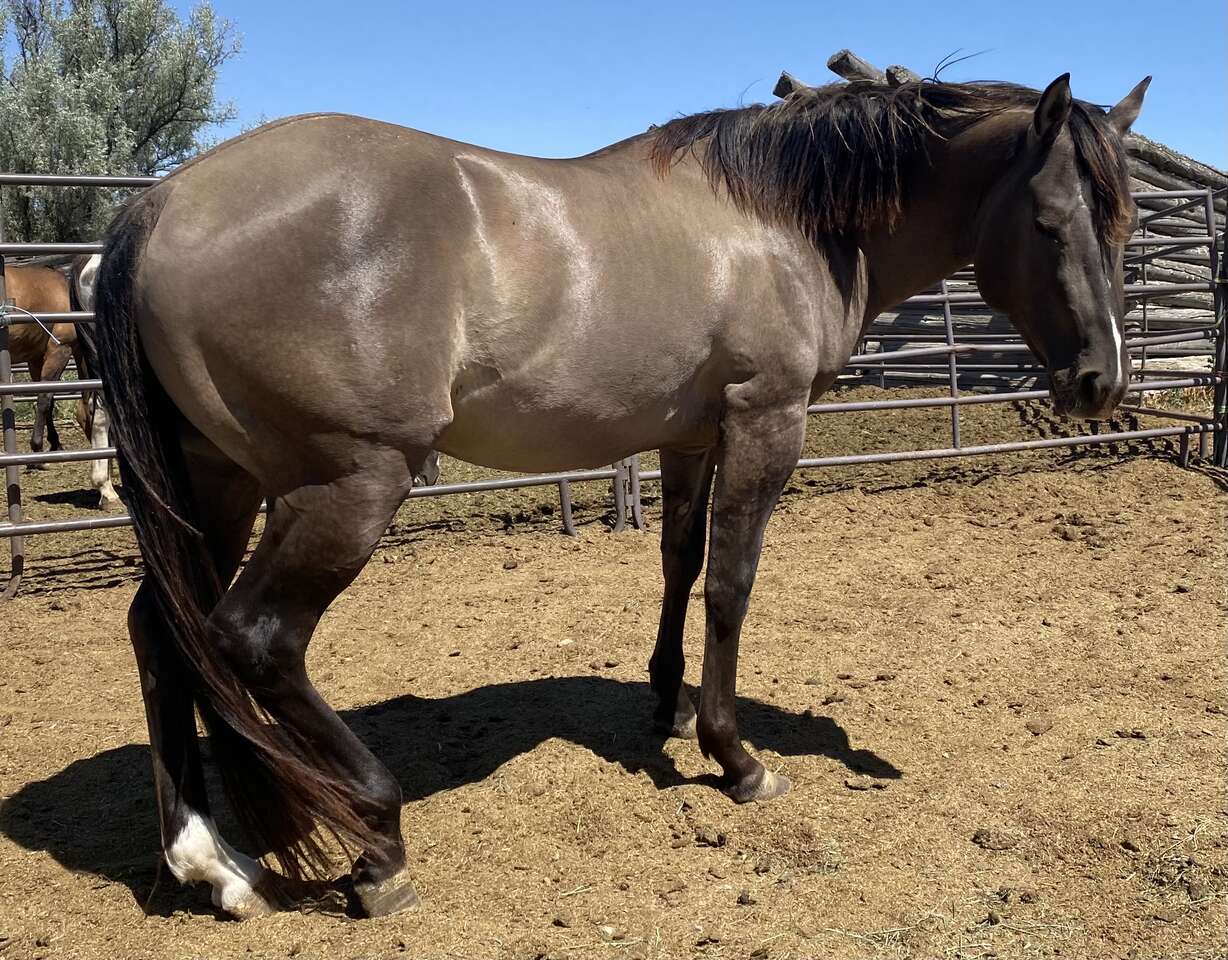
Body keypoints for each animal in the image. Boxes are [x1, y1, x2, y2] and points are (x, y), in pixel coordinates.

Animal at [91, 72, 1149, 919]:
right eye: (1050, 223)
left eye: (1124, 224)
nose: (1101, 381)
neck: (778, 221)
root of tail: (164, 204)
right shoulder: (767, 422)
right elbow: (732, 584)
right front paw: (736, 756)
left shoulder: (689, 437)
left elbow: (678, 564)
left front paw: (668, 704)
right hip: (346, 487)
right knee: (252, 640)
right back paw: (377, 838)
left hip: (220, 484)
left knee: (164, 633)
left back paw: (211, 864)